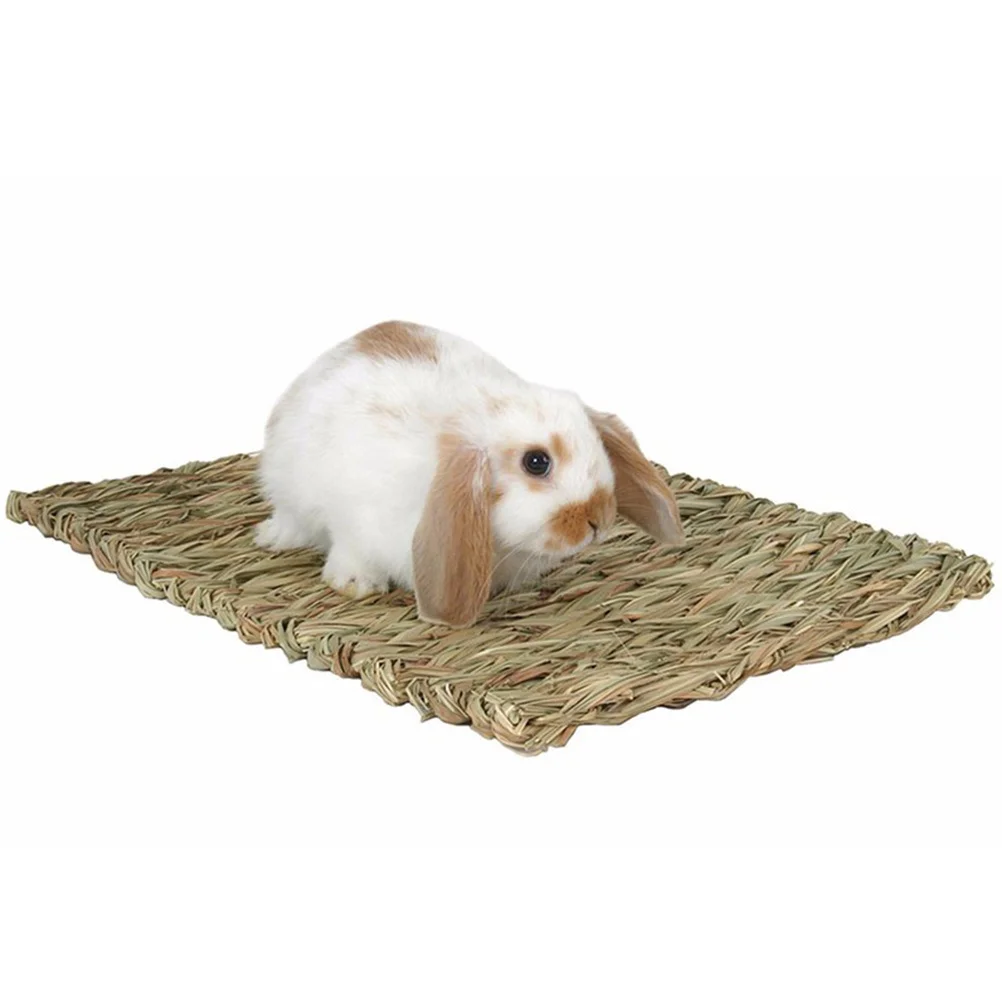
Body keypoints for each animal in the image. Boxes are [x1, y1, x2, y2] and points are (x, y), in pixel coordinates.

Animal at [255, 321, 684, 627]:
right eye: (536, 462)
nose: (599, 519)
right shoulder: (355, 520)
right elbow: (350, 550)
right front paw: (356, 586)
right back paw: (273, 537)